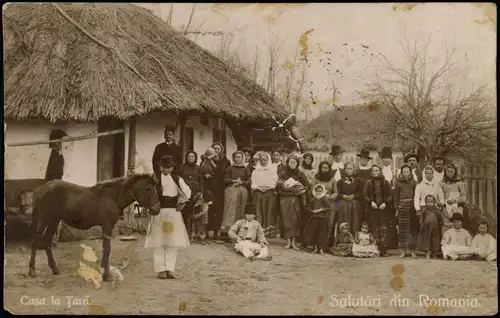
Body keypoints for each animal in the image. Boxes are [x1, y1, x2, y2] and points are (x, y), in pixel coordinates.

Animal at [28, 174, 160, 280]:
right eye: (148, 188)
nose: (157, 210)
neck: (112, 197)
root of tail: (40, 190)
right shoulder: (107, 226)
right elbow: (107, 249)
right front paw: (106, 276)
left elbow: (106, 248)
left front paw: (104, 272)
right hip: (45, 220)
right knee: (36, 240)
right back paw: (32, 271)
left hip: (53, 221)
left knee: (46, 241)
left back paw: (55, 269)